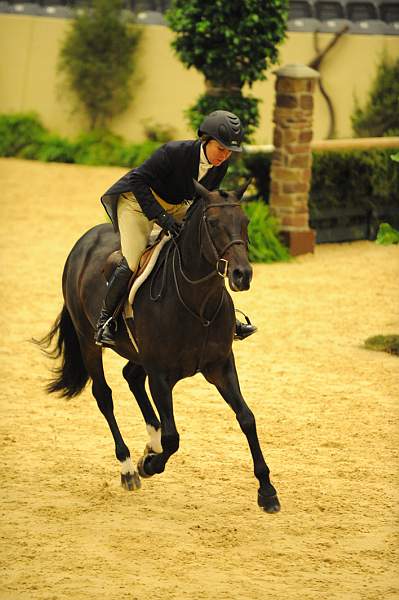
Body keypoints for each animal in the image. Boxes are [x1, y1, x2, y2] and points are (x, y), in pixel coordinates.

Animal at [37, 177, 282, 510]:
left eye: (244, 222)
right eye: (213, 223)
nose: (242, 275)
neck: (197, 304)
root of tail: (84, 242)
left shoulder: (220, 365)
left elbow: (246, 418)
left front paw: (267, 491)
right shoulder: (161, 375)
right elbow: (173, 438)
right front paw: (149, 465)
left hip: (136, 352)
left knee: (131, 376)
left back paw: (149, 444)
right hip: (89, 341)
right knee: (104, 395)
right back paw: (129, 468)